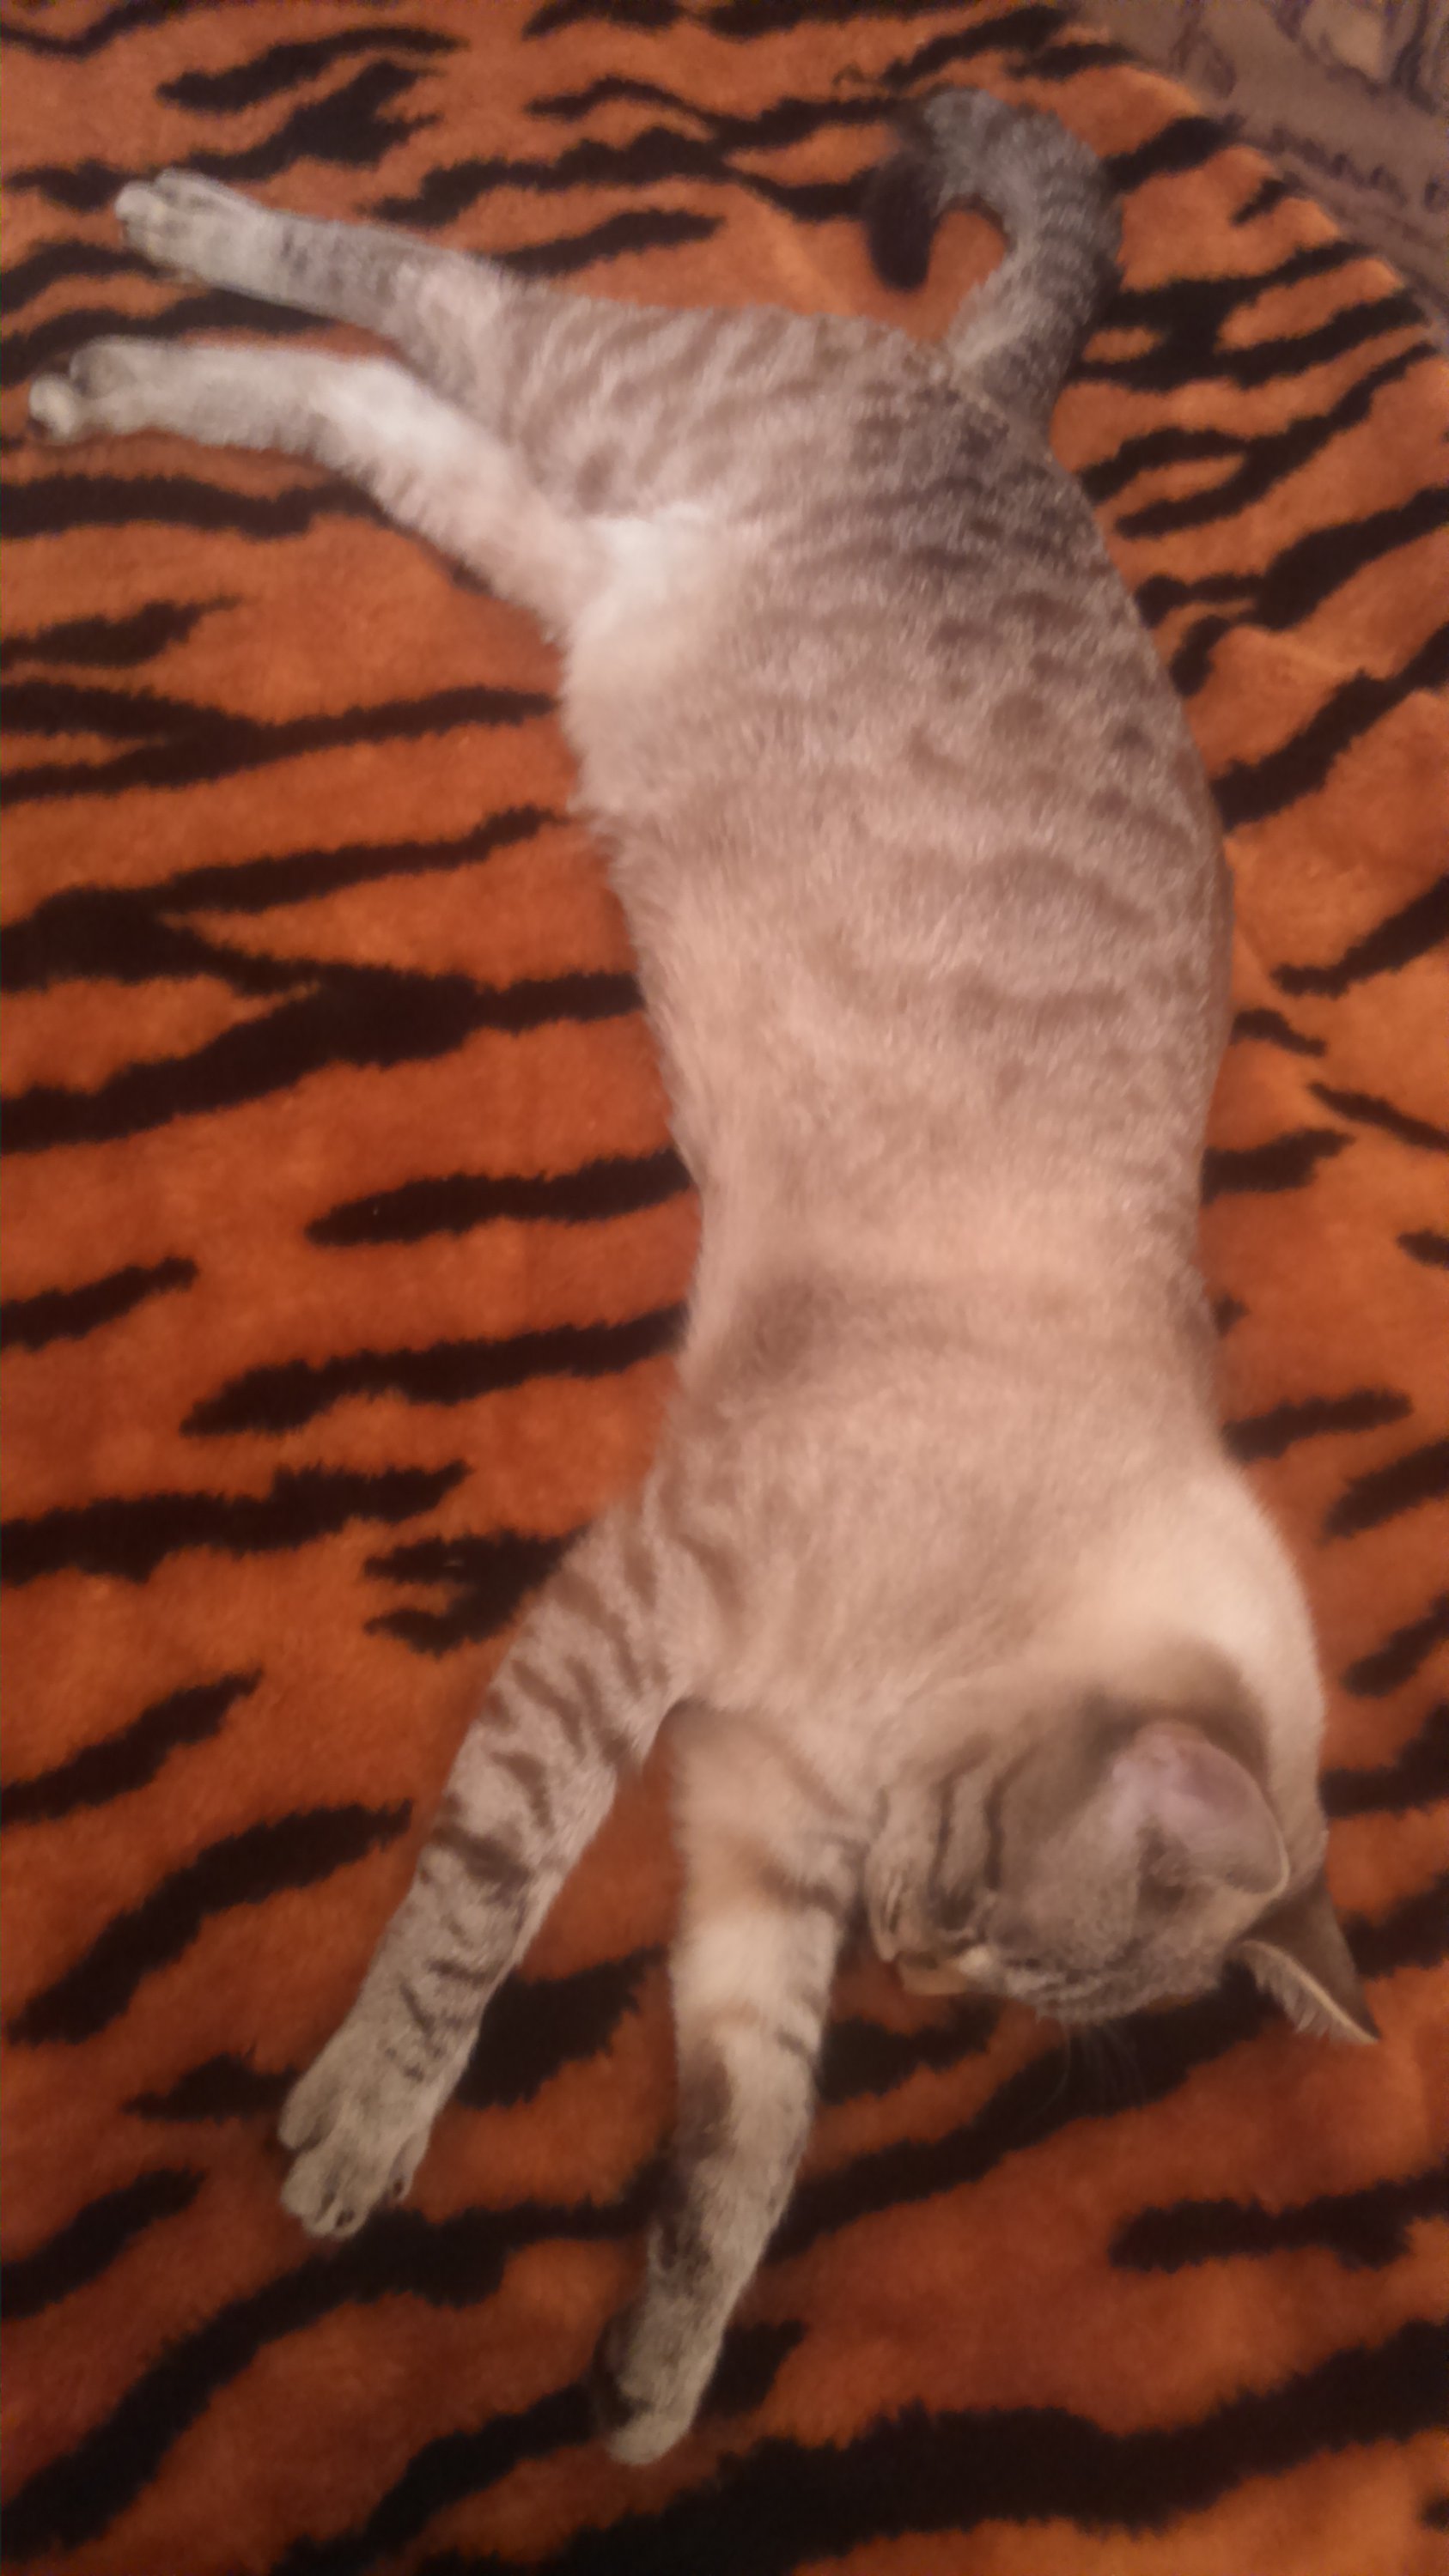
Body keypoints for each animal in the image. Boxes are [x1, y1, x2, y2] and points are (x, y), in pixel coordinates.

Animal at [30, 86, 1377, 2466]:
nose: (923, 1954)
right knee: (423, 286)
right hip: (602, 399)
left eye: (994, 1964)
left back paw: (109, 380)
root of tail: (995, 404)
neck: (902, 1719)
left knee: (365, 400)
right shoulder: (641, 1622)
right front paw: (371, 2123)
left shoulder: (759, 1847)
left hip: (567, 550)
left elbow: (745, 2143)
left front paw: (653, 2388)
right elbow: (485, 1905)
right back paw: (164, 230)